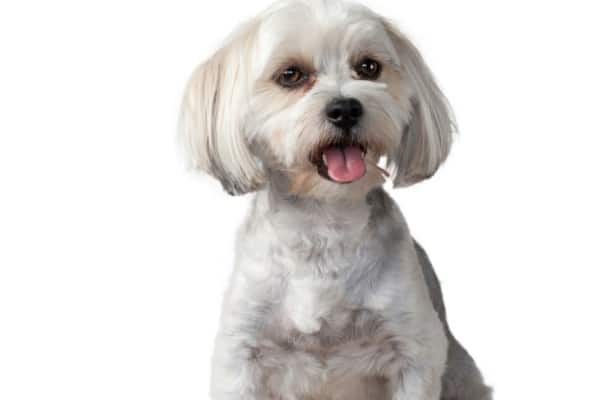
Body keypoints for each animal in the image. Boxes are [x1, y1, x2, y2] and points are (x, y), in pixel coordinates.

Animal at [180, 1, 490, 398]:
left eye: (369, 67)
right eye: (291, 75)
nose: (346, 109)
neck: (324, 222)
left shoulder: (416, 349)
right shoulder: (241, 353)